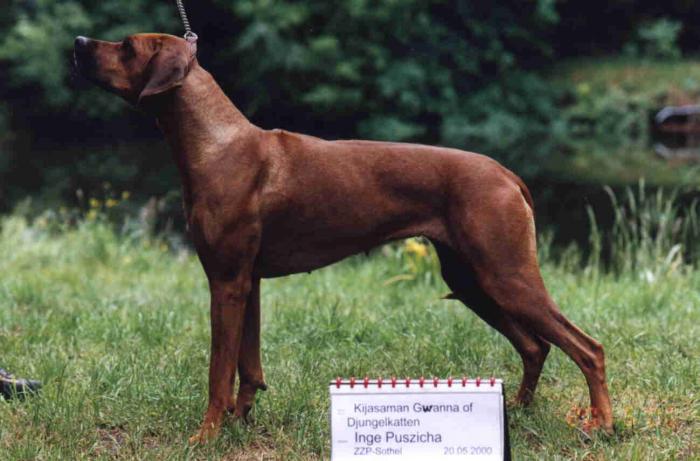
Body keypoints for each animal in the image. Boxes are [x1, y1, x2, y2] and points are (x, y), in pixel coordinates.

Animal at [73, 33, 613, 443]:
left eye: (126, 47)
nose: (78, 42)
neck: (215, 142)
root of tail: (505, 173)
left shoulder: (225, 281)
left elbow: (216, 373)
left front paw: (205, 436)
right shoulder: (248, 283)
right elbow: (248, 366)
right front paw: (240, 423)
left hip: (506, 275)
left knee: (588, 348)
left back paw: (602, 424)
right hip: (473, 281)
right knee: (535, 347)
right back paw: (516, 411)